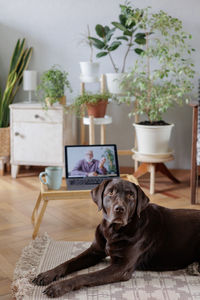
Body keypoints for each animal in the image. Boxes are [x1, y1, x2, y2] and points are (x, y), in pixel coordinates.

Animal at [32, 178, 200, 298]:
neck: (113, 231)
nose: (119, 209)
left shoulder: (121, 267)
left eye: (131, 195)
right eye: (110, 193)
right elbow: (68, 262)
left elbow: (85, 276)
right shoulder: (95, 251)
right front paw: (47, 275)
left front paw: (58, 287)